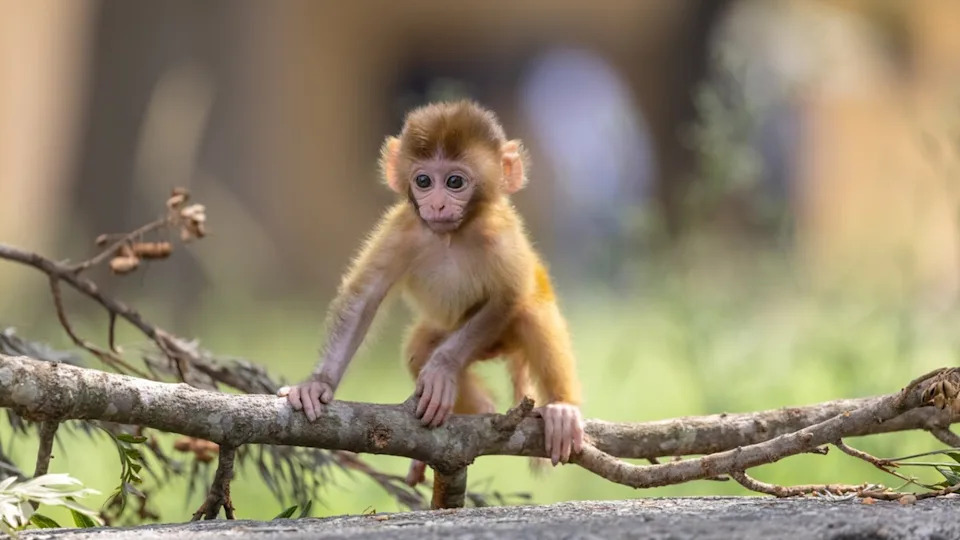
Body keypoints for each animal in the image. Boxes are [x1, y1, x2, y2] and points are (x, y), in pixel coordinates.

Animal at [278, 100, 584, 485]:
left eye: (454, 181)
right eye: (423, 181)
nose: (437, 204)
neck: (451, 235)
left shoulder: (500, 235)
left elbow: (508, 296)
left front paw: (441, 370)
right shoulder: (402, 229)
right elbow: (364, 299)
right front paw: (318, 384)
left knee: (530, 314)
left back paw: (561, 407)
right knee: (418, 348)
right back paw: (480, 409)